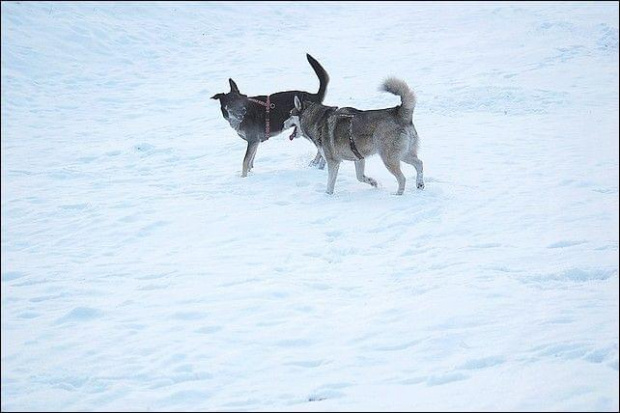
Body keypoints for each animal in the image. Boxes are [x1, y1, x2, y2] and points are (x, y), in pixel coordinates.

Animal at [284, 78, 424, 196]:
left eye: (290, 114)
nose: (283, 123)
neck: (318, 120)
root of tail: (399, 112)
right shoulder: (359, 158)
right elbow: (360, 177)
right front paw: (373, 182)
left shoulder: (333, 162)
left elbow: (330, 184)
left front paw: (327, 196)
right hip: (403, 154)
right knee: (419, 163)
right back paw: (420, 184)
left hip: (389, 158)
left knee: (402, 178)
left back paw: (398, 194)